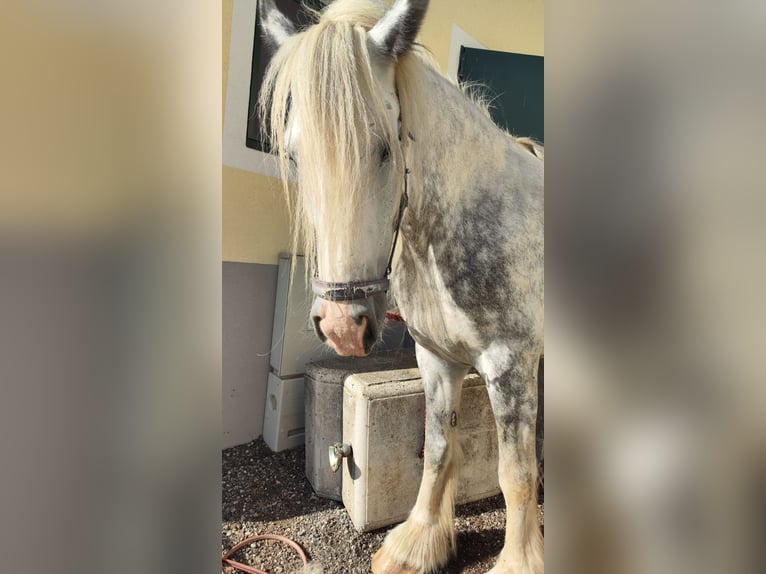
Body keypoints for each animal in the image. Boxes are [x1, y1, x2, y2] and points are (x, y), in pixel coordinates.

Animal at [258, 1, 544, 572]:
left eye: (384, 148)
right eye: (295, 156)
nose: (343, 327)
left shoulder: (511, 366)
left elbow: (517, 475)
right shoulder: (435, 357)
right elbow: (436, 449)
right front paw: (418, 542)